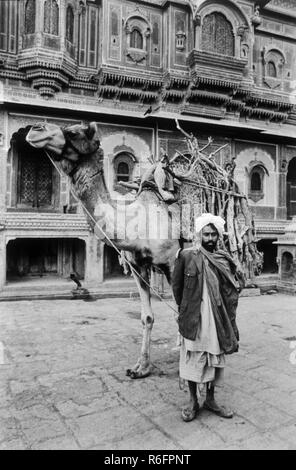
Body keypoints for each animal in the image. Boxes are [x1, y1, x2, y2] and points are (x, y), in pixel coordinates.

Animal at [25, 120, 262, 378]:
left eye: (73, 132)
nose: (34, 129)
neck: (137, 222)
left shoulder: (172, 263)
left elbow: (181, 310)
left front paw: (186, 363)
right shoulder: (138, 266)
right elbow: (147, 316)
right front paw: (141, 367)